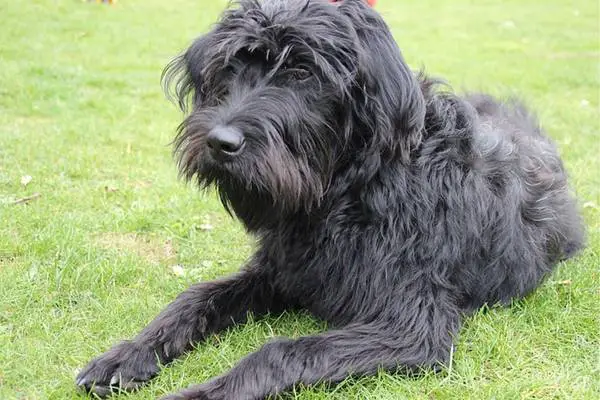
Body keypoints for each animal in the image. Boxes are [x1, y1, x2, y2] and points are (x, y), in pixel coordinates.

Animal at [76, 0, 584, 400]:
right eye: (231, 67)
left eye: (302, 72)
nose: (220, 142)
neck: (348, 192)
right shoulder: (281, 271)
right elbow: (194, 297)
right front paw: (127, 354)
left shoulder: (412, 326)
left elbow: (281, 351)